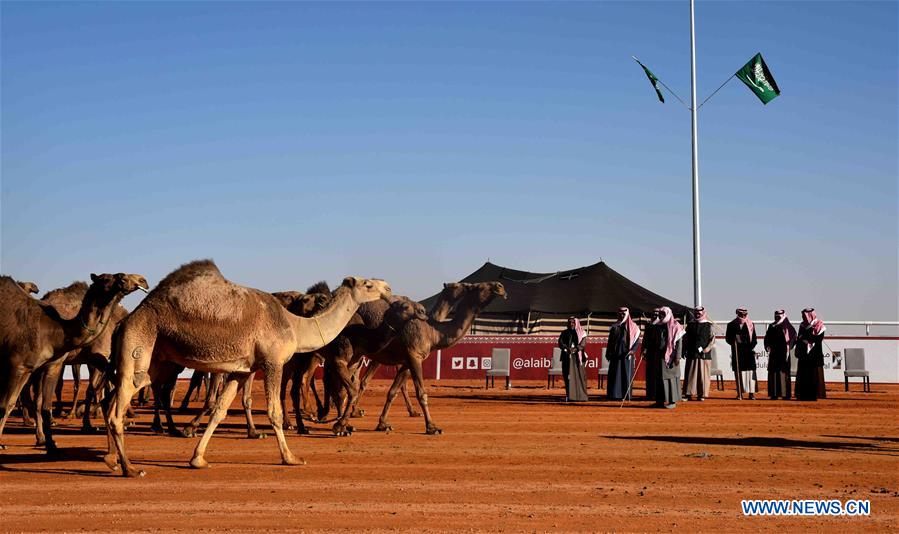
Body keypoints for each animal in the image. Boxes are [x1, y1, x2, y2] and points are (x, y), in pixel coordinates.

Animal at [0, 273, 148, 452]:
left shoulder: (90, 359)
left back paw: (39, 431)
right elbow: (93, 388)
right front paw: (89, 422)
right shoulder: (98, 354)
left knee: (33, 397)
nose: (142, 280)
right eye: (108, 279)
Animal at [103, 260, 391, 477]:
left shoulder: (244, 370)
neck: (295, 325)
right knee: (118, 409)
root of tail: (124, 322)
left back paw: (111, 459)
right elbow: (274, 412)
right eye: (367, 284)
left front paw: (198, 459)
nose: (387, 287)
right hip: (140, 345)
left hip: (155, 360)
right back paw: (130, 468)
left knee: (113, 401)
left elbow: (219, 410)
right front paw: (291, 457)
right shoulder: (273, 361)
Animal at [333, 281, 506, 436]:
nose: (500, 287)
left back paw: (345, 420)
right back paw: (343, 421)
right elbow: (421, 393)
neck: (433, 331)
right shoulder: (414, 356)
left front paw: (383, 424)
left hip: (357, 355)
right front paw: (432, 427)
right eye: (480, 287)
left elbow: (393, 391)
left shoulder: (406, 361)